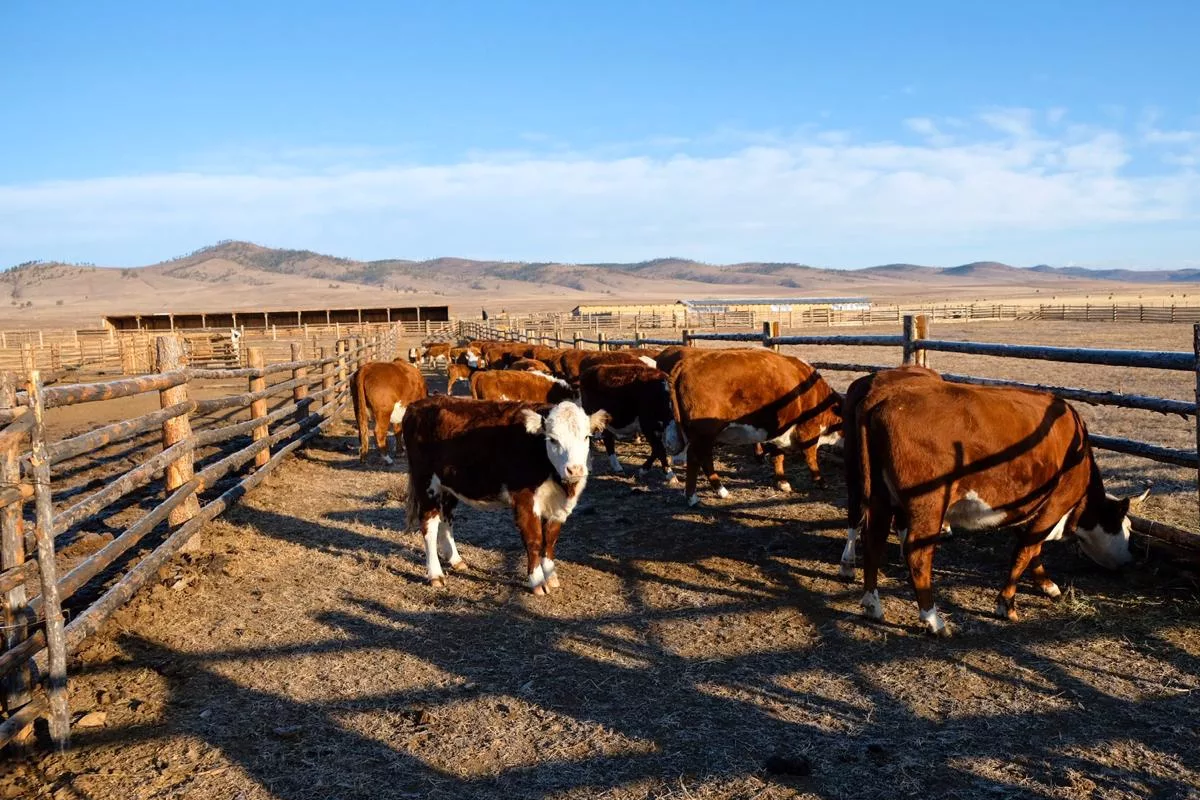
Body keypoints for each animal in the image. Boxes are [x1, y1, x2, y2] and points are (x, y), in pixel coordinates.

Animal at [403, 395, 609, 594]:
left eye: (586, 437)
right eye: (552, 439)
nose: (575, 470)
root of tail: (416, 405)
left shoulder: (557, 507)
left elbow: (550, 540)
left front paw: (551, 576)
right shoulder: (524, 501)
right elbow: (534, 540)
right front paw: (538, 581)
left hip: (449, 485)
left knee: (447, 518)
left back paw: (456, 560)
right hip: (426, 484)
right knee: (429, 526)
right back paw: (435, 575)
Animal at [667, 350, 844, 506]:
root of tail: (686, 364)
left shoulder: (778, 431)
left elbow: (778, 456)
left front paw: (782, 482)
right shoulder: (808, 430)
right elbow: (810, 457)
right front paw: (820, 481)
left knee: (704, 458)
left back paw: (720, 491)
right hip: (704, 434)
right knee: (696, 458)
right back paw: (693, 497)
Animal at [859, 381, 1147, 638]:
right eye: (1126, 527)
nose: (1130, 560)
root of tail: (884, 401)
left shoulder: (1028, 508)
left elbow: (1033, 548)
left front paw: (1046, 584)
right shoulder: (1056, 503)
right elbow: (1025, 550)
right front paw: (1006, 603)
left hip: (881, 498)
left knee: (873, 541)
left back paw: (873, 605)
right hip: (928, 506)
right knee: (918, 555)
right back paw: (933, 620)